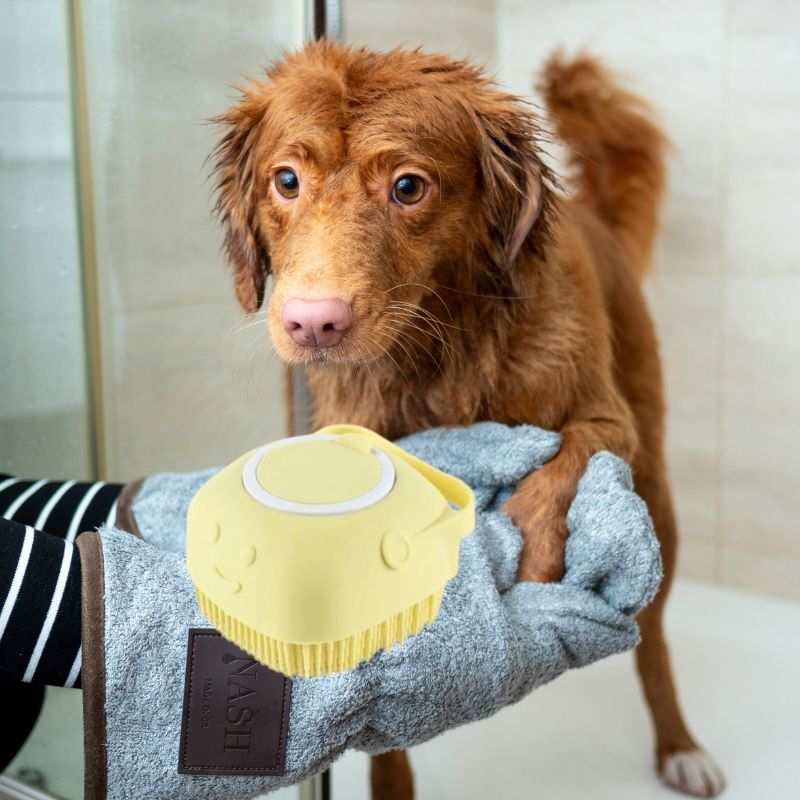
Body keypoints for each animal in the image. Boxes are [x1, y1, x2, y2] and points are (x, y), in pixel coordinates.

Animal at [211, 40, 724, 796]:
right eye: (286, 181)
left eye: (407, 187)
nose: (313, 323)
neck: (435, 357)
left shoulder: (608, 423)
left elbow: (561, 461)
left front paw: (531, 552)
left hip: (654, 476)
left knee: (654, 636)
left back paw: (680, 746)